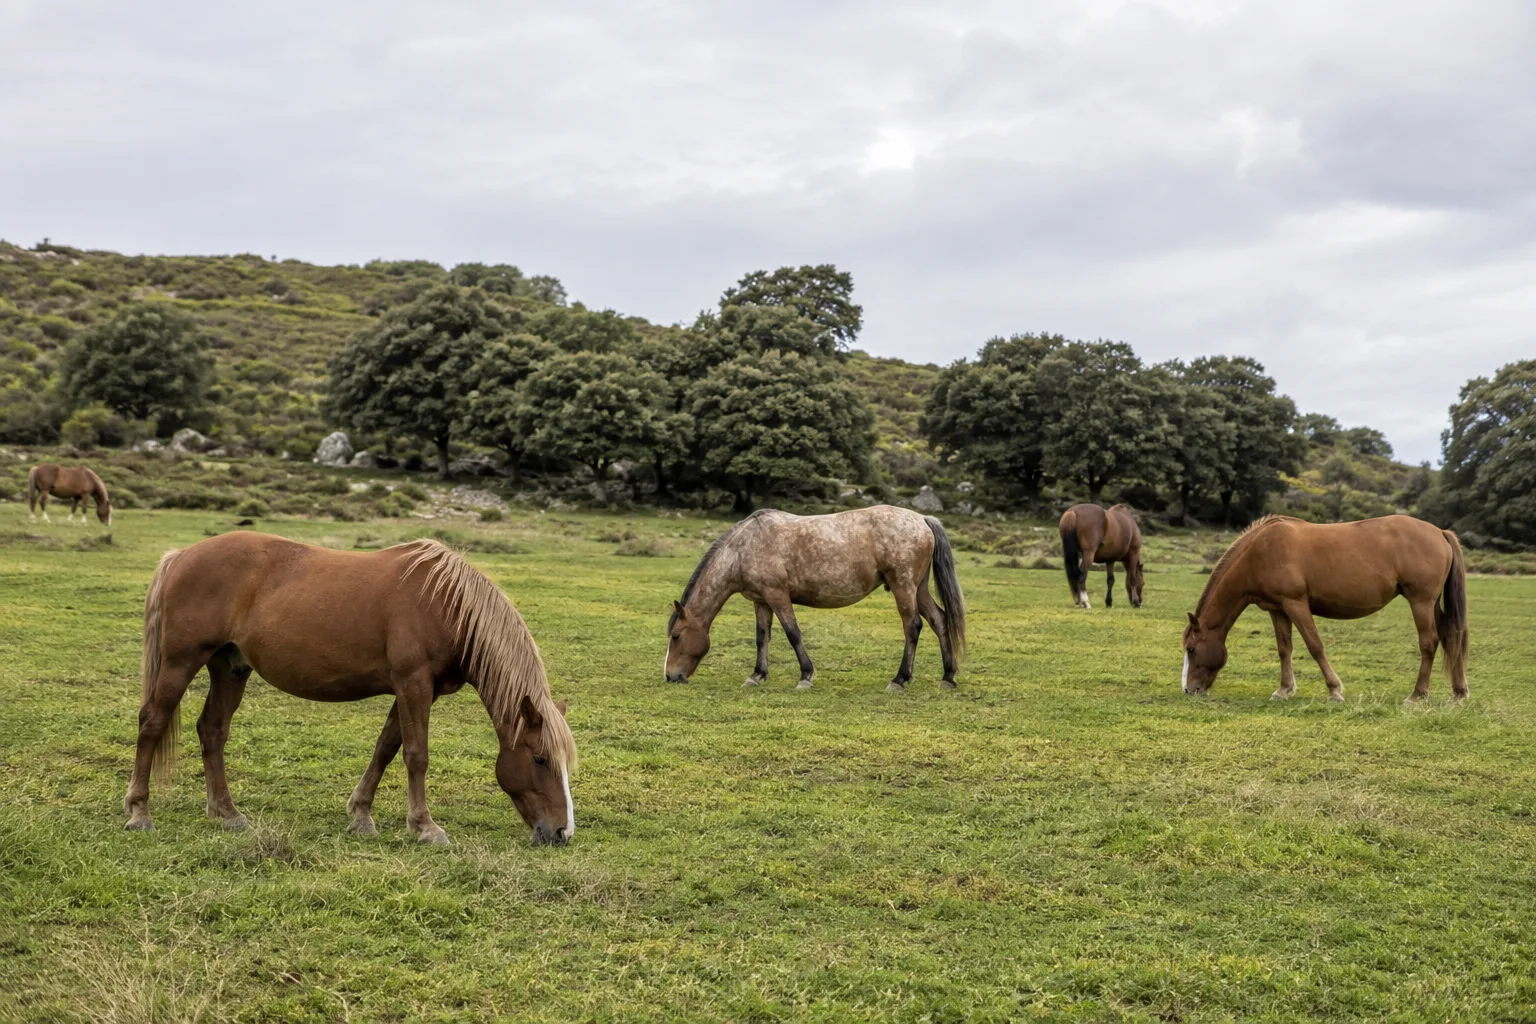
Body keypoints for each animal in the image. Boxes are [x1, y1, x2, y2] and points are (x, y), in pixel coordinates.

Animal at [124, 532, 577, 845]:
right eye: (539, 759)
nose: (562, 832)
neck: (446, 604)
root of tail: (182, 555)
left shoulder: (415, 689)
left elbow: (386, 748)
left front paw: (361, 816)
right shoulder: (414, 683)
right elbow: (416, 755)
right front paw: (424, 827)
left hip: (230, 667)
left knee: (213, 731)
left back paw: (226, 812)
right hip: (181, 662)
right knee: (152, 722)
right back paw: (139, 813)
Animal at [664, 505, 966, 691]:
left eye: (676, 636)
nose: (670, 676)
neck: (743, 548)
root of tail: (923, 519)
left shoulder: (777, 595)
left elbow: (793, 633)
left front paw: (806, 676)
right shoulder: (761, 601)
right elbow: (762, 637)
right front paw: (757, 676)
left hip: (903, 586)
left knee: (912, 626)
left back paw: (900, 679)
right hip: (919, 588)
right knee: (939, 621)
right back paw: (947, 676)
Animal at [1181, 514, 1468, 703]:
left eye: (1191, 649)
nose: (1189, 689)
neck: (1259, 552)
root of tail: (1440, 532)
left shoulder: (1296, 603)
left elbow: (1315, 646)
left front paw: (1334, 690)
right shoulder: (1278, 609)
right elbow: (1284, 649)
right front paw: (1284, 690)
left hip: (1420, 602)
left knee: (1429, 643)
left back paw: (1417, 695)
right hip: (1431, 604)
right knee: (1450, 635)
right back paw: (1458, 692)